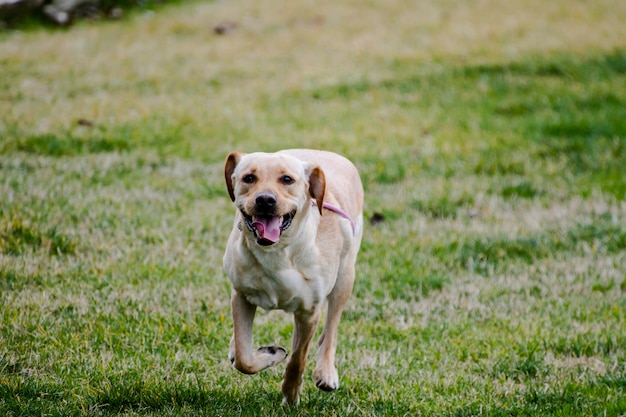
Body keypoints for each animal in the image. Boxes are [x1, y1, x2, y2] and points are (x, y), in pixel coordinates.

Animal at [223, 149, 360, 404]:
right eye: (249, 178)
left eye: (287, 179)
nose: (265, 200)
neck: (276, 251)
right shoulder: (241, 297)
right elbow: (245, 358)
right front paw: (269, 354)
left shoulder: (309, 311)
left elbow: (298, 358)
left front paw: (291, 393)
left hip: (345, 276)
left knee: (331, 326)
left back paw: (326, 372)